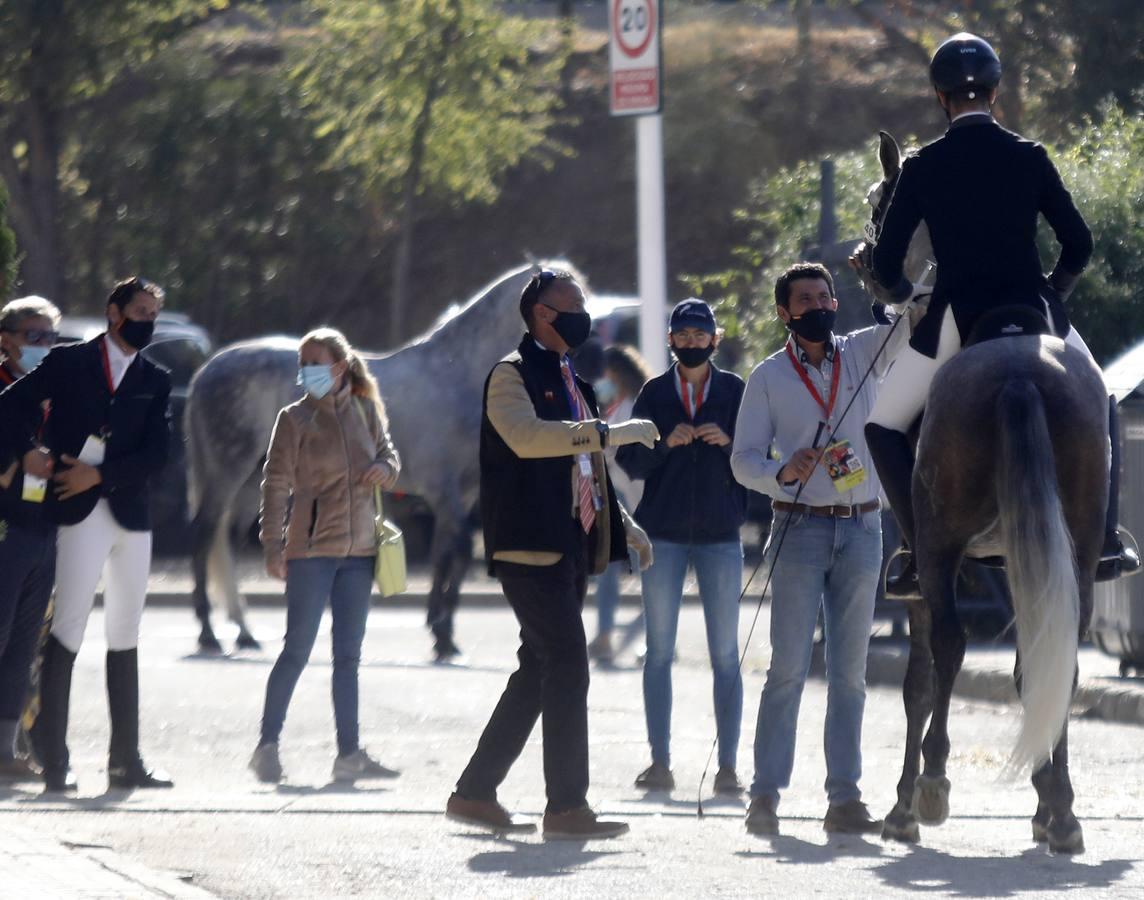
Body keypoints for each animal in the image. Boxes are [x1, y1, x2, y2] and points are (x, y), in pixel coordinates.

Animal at [185, 260, 565, 654]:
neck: (453, 375)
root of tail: (206, 371)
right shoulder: (442, 489)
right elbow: (458, 550)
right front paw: (443, 636)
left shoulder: (463, 494)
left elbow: (446, 554)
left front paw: (439, 629)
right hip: (228, 470)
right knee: (203, 536)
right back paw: (208, 634)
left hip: (255, 478)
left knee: (228, 541)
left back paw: (244, 632)